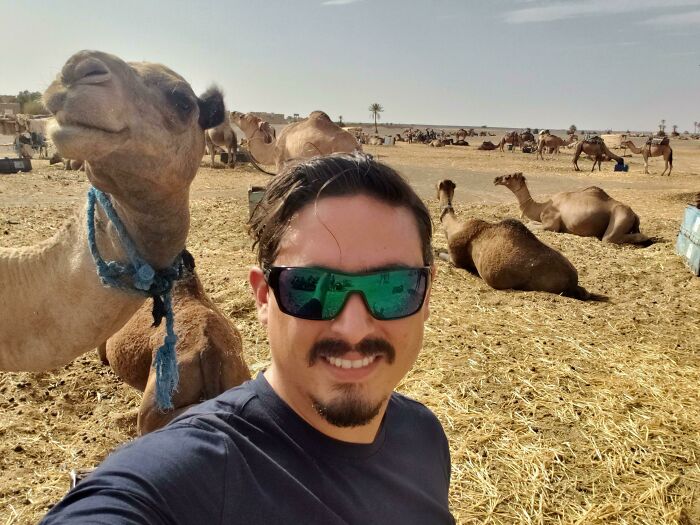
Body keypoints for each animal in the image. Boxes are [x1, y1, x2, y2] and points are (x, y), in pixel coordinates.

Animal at [494, 172, 651, 245]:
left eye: (508, 177)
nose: (496, 179)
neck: (542, 206)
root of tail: (634, 214)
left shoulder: (551, 223)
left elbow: (534, 226)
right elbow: (530, 223)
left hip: (620, 216)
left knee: (609, 238)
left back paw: (645, 238)